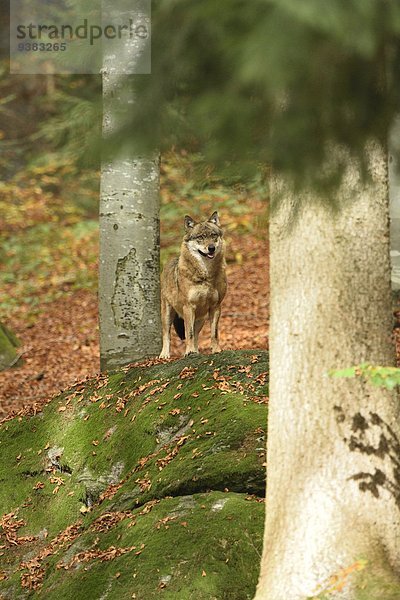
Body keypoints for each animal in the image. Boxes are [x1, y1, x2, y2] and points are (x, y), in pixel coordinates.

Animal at [159, 213, 228, 358]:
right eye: (200, 237)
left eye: (213, 235)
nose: (211, 248)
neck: (206, 275)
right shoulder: (188, 307)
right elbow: (188, 334)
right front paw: (188, 352)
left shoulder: (216, 306)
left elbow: (214, 333)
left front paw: (216, 350)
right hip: (167, 314)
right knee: (167, 334)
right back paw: (165, 355)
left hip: (201, 318)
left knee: (196, 336)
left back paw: (196, 351)